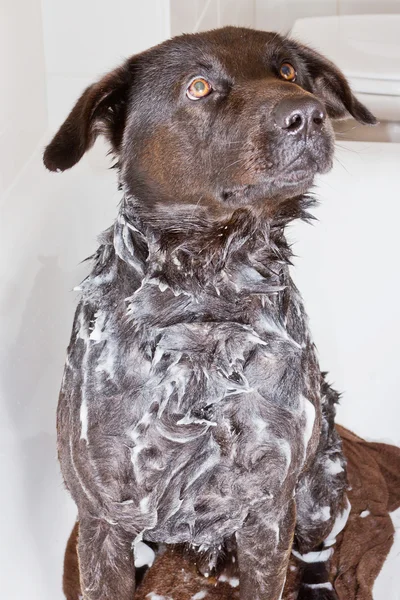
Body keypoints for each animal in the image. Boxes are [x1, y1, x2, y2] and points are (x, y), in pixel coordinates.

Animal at [44, 25, 376, 600]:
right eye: (197, 87)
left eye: (287, 71)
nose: (306, 113)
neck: (205, 301)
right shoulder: (102, 520)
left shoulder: (268, 514)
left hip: (320, 494)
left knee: (317, 554)